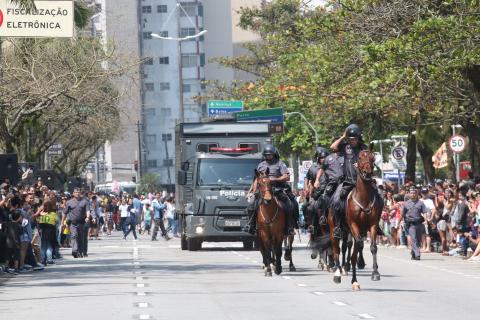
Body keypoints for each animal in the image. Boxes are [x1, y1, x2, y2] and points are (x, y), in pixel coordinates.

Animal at [344, 149, 382, 292]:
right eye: (359, 158)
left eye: (373, 158)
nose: (368, 173)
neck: (363, 198)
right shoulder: (353, 225)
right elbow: (357, 246)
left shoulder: (373, 225)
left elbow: (373, 247)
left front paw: (375, 273)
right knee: (351, 246)